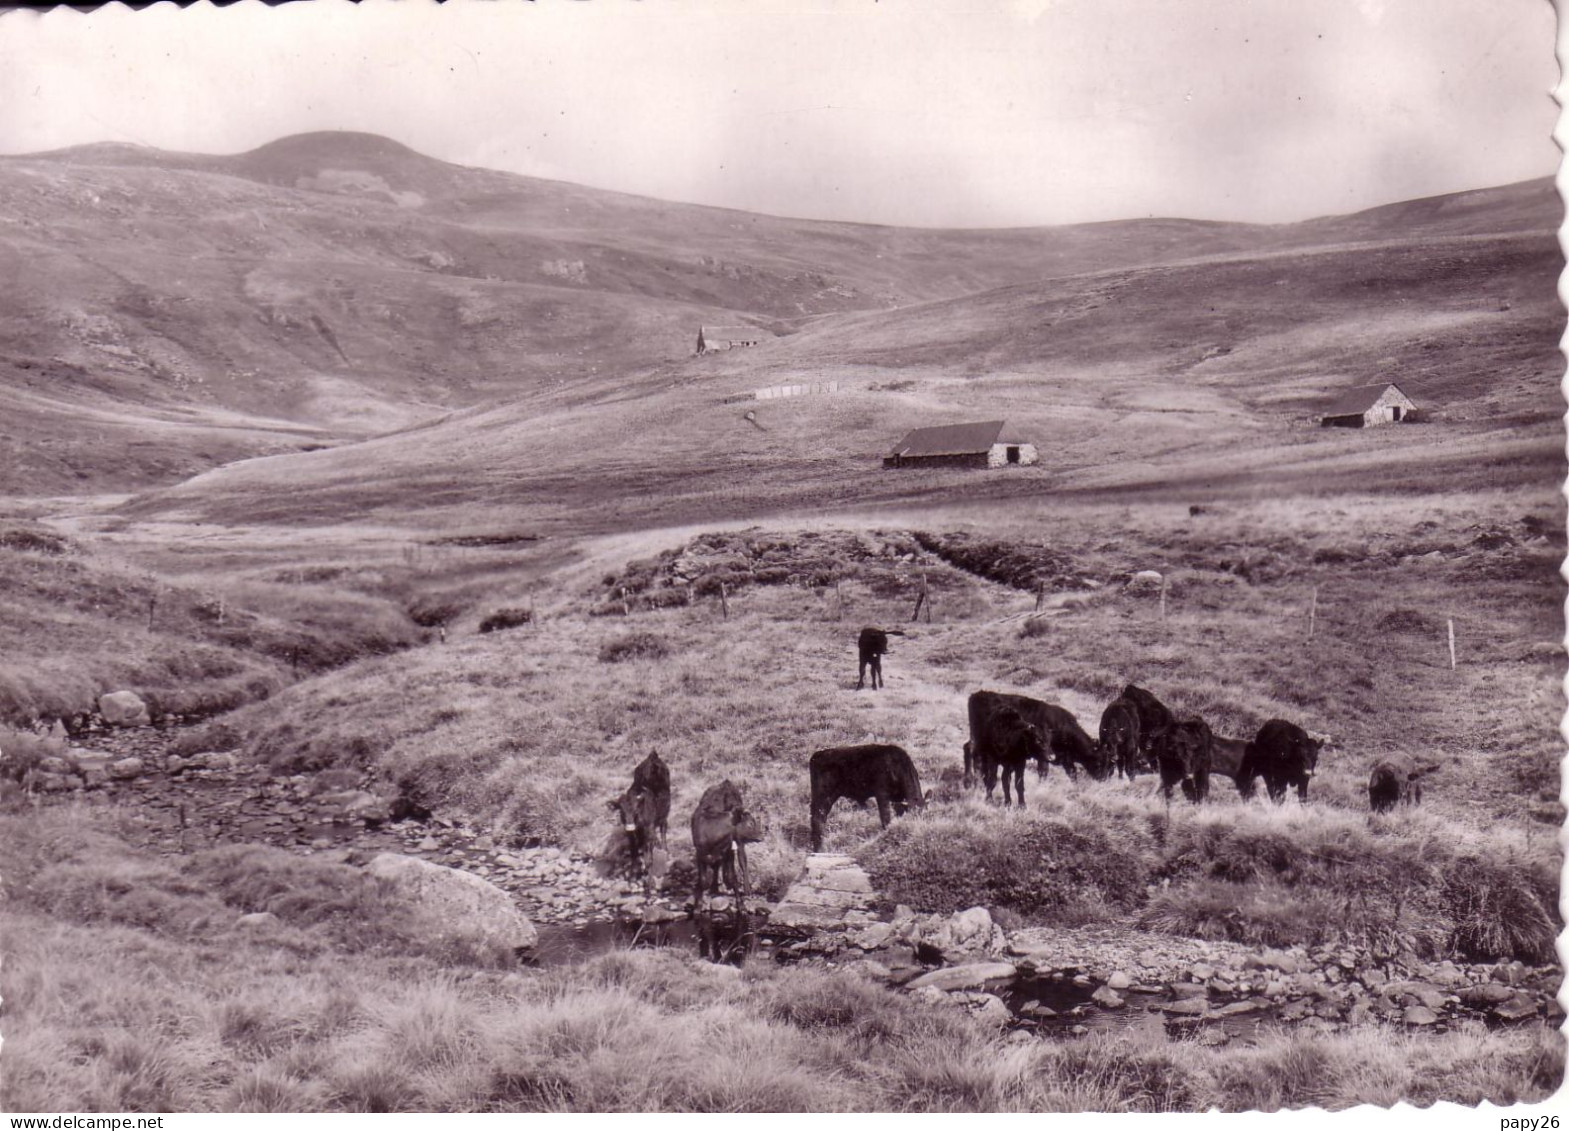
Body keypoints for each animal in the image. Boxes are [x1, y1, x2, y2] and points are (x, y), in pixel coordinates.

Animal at [693, 781, 765, 916]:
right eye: (750, 823)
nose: (761, 836)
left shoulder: (728, 852)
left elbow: (733, 877)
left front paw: (741, 906)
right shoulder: (699, 854)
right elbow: (703, 880)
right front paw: (697, 906)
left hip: (739, 842)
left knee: (742, 862)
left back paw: (746, 889)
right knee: (717, 867)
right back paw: (714, 888)